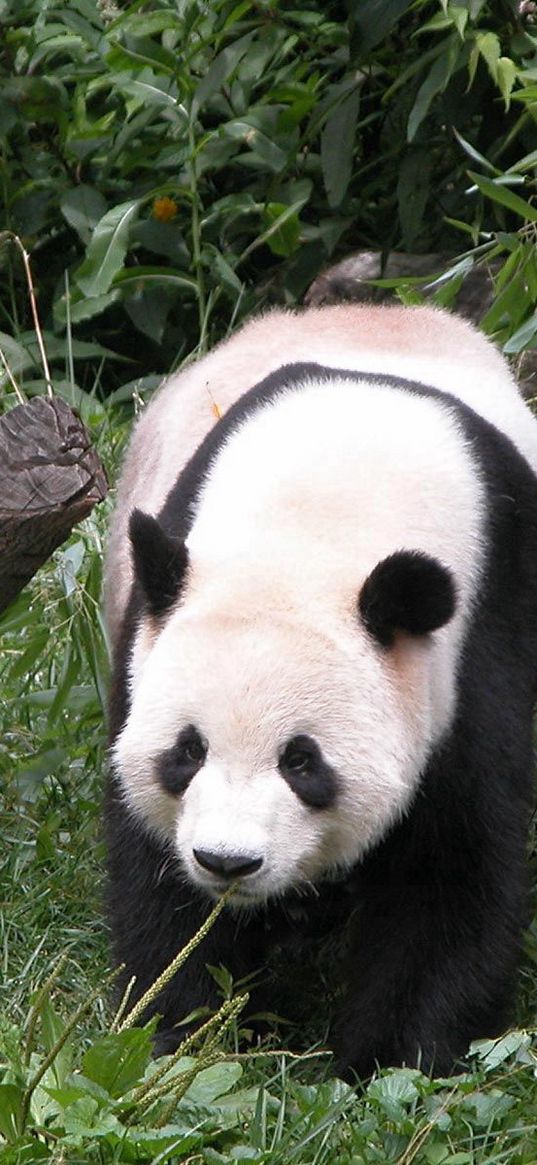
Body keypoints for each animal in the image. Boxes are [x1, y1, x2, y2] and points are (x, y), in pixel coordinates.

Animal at [104, 300, 535, 1071]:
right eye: (188, 751)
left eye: (302, 761)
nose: (227, 860)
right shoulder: (149, 637)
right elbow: (157, 876)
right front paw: (184, 1034)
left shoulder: (478, 645)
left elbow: (451, 874)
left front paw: (387, 1061)